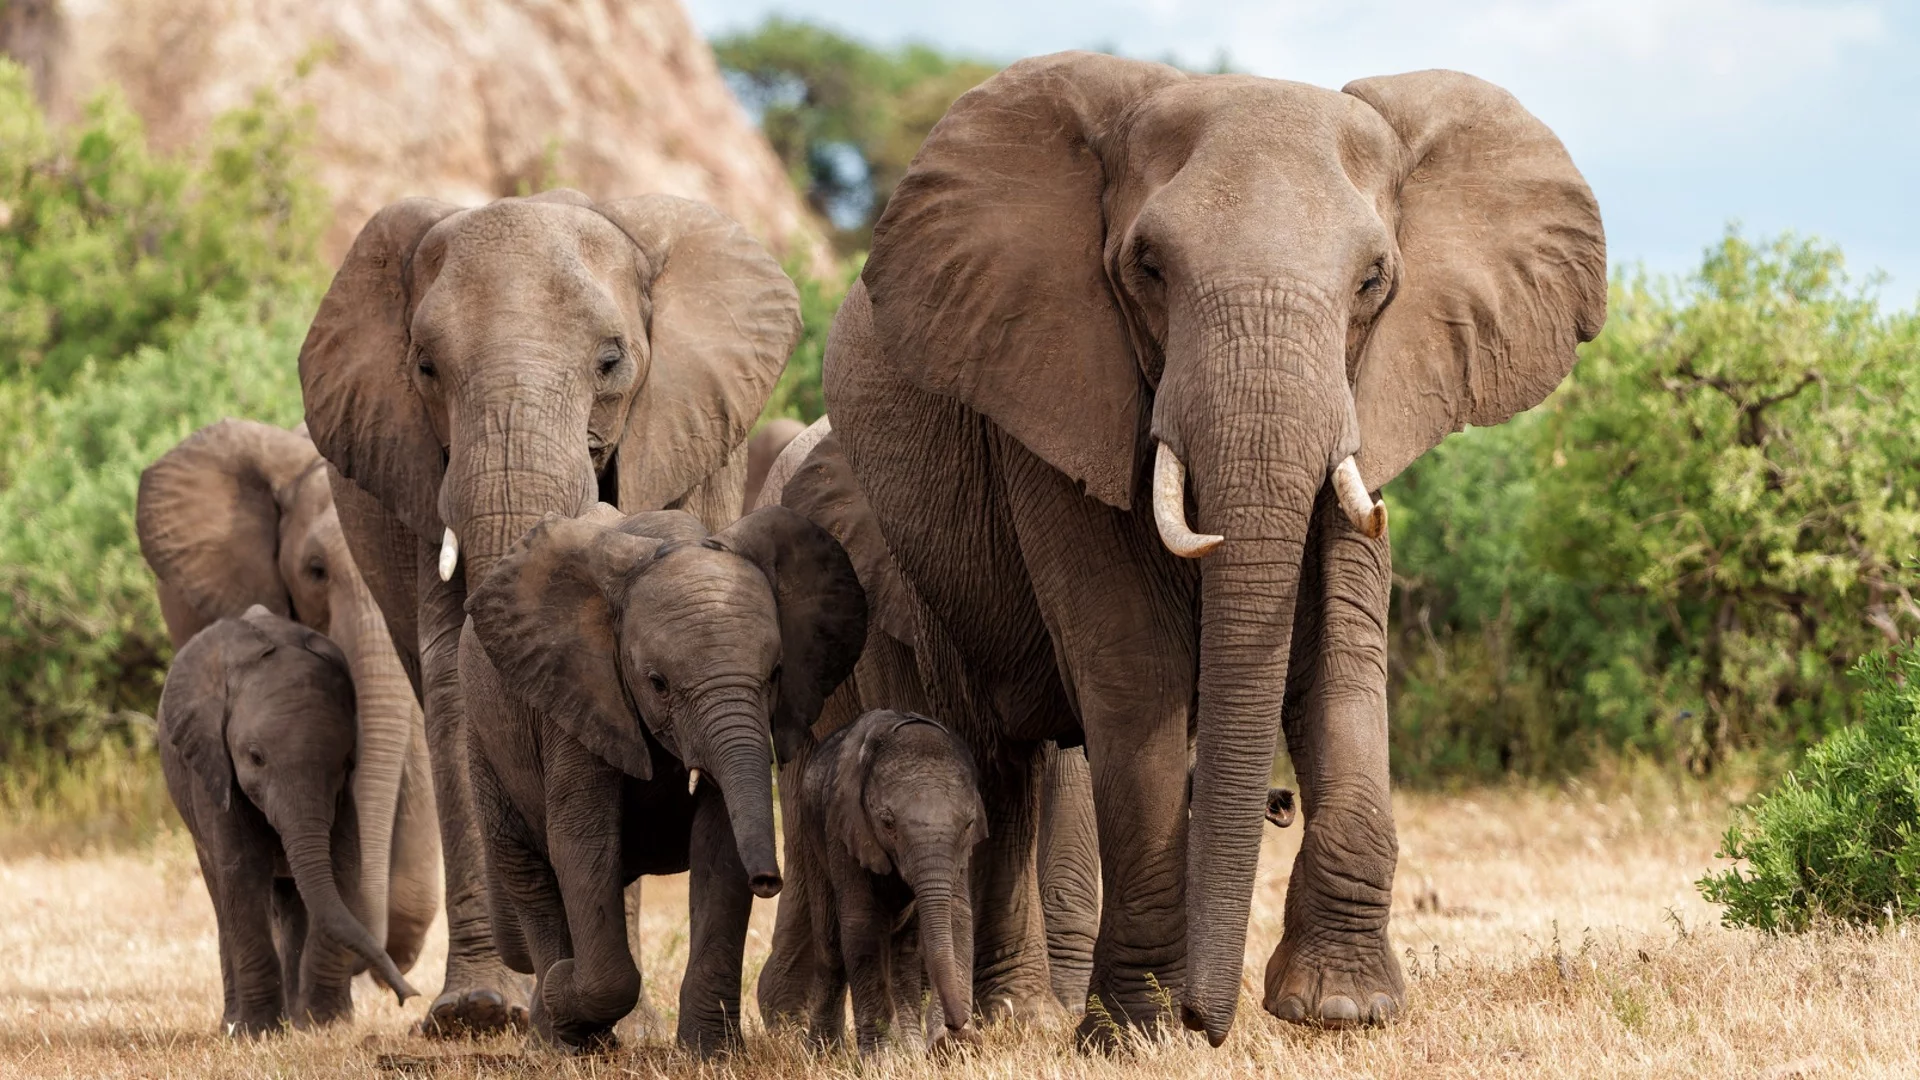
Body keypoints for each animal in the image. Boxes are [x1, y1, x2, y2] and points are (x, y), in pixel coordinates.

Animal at [159, 599, 418, 1030]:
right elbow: (242, 872)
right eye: (255, 757)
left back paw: (297, 1019)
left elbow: (342, 866)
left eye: (346, 762)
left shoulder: (342, 798)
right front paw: (257, 1032)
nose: (409, 996)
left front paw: (326, 1024)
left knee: (293, 902)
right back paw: (233, 1022)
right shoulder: (213, 769)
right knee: (224, 897)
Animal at [460, 503, 860, 1053]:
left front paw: (710, 1055)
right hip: (485, 740)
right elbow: (582, 843)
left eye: (777, 673)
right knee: (529, 872)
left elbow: (719, 845)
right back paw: (556, 1034)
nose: (768, 881)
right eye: (657, 683)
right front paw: (566, 989)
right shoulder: (578, 696)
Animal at [794, 707, 983, 1053]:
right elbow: (863, 924)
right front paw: (883, 1059)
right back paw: (823, 1053)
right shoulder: (844, 826)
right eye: (888, 823)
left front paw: (951, 1049)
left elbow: (957, 915)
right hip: (809, 834)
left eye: (969, 824)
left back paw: (910, 1049)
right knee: (831, 946)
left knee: (902, 950)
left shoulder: (962, 852)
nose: (958, 1025)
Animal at [825, 52, 1605, 1045]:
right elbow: (1134, 666)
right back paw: (997, 1026)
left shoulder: (1369, 401)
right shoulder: (1056, 385)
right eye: (1148, 268)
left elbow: (1341, 656)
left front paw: (1340, 1009)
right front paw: (1138, 1031)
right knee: (991, 760)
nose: (1213, 1018)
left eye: (1374, 281)